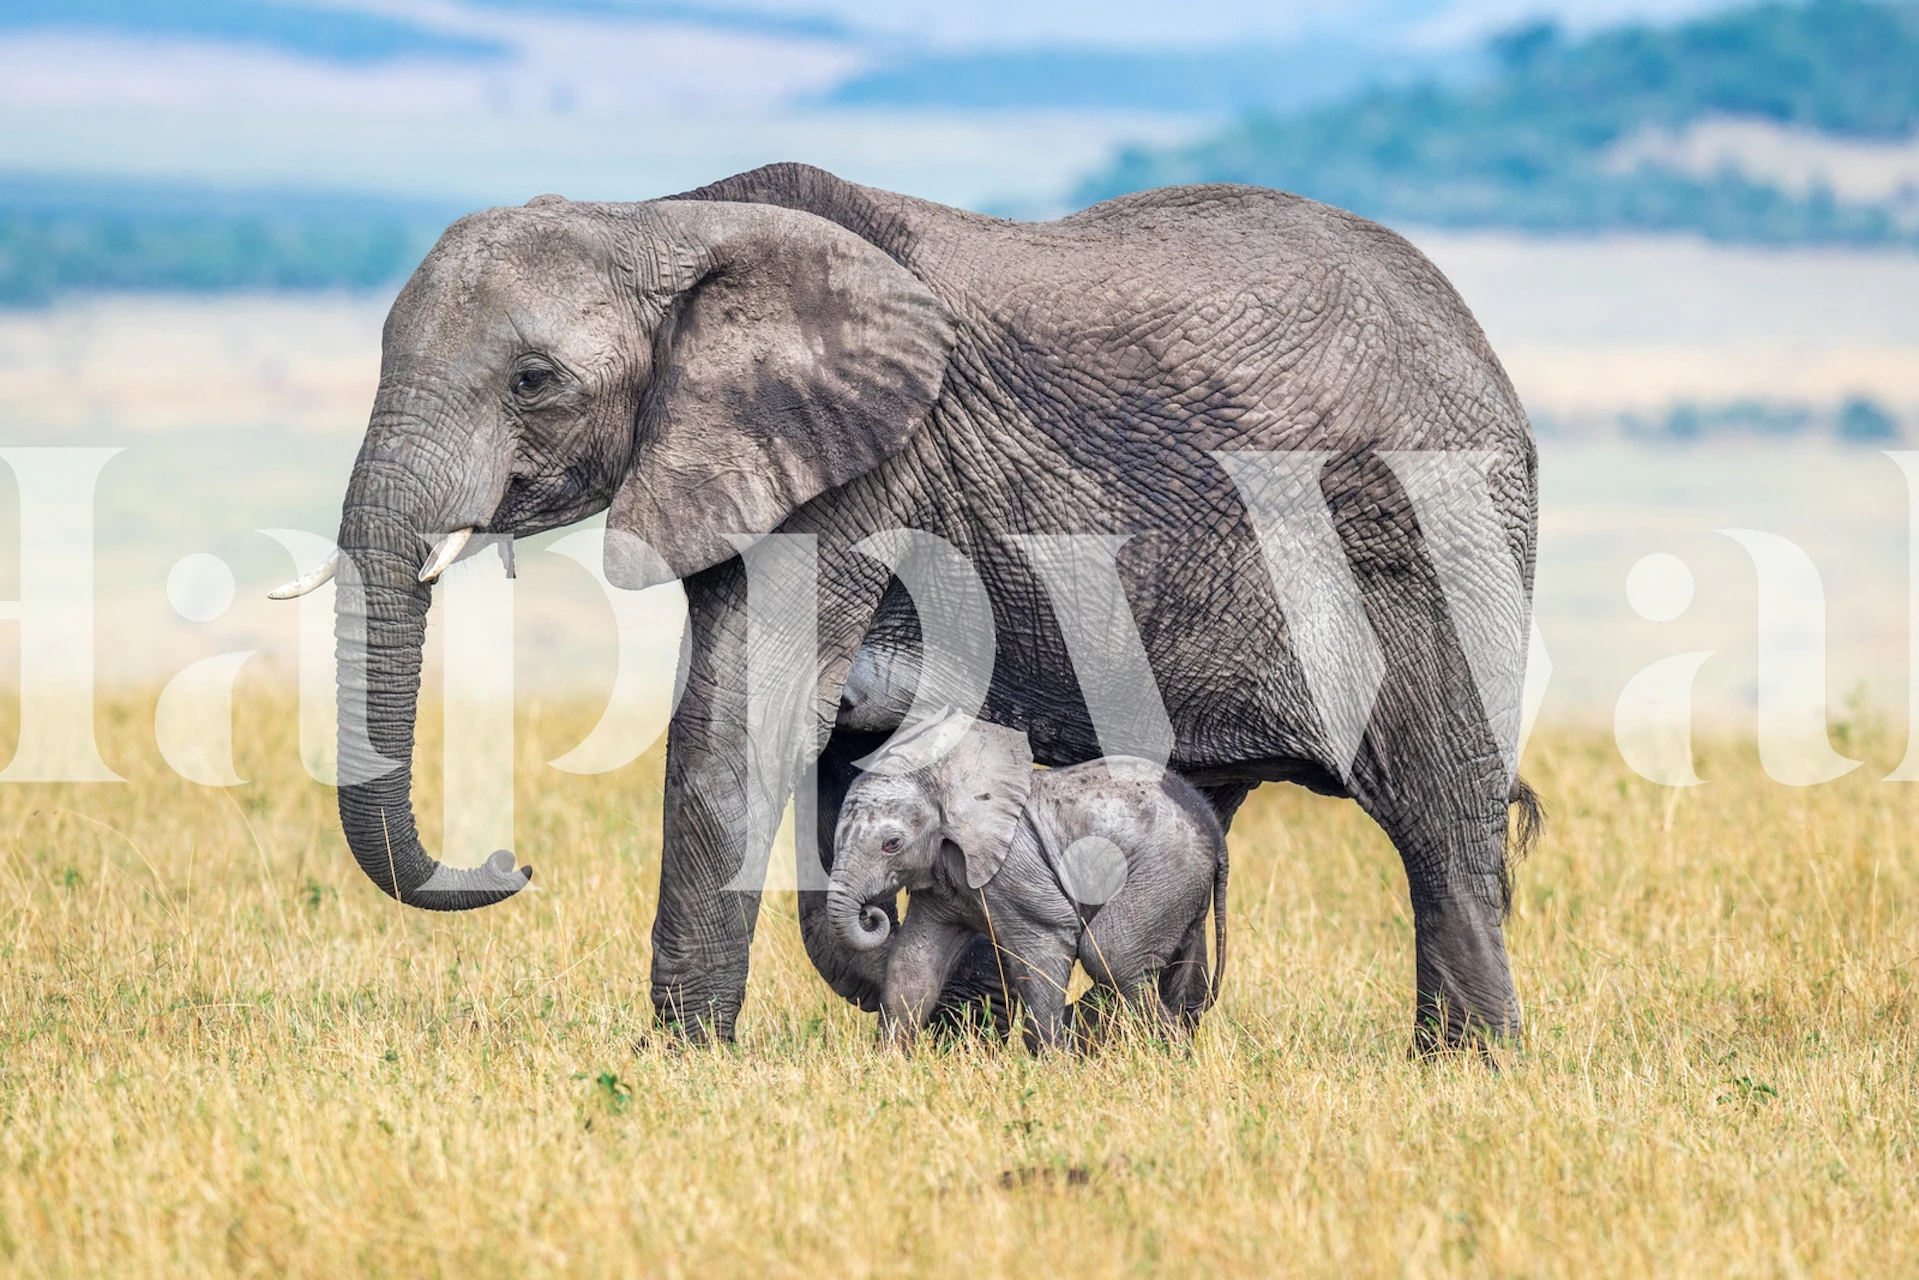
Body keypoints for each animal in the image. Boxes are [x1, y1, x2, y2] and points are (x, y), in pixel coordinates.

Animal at [828, 712, 1228, 1053]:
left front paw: (1054, 1065)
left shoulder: (1015, 868)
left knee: (1110, 953)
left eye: (891, 844)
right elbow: (913, 964)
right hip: (1179, 885)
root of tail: (1211, 823)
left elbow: (1044, 947)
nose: (871, 914)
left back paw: (1168, 1051)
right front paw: (889, 1062)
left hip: (1165, 869)